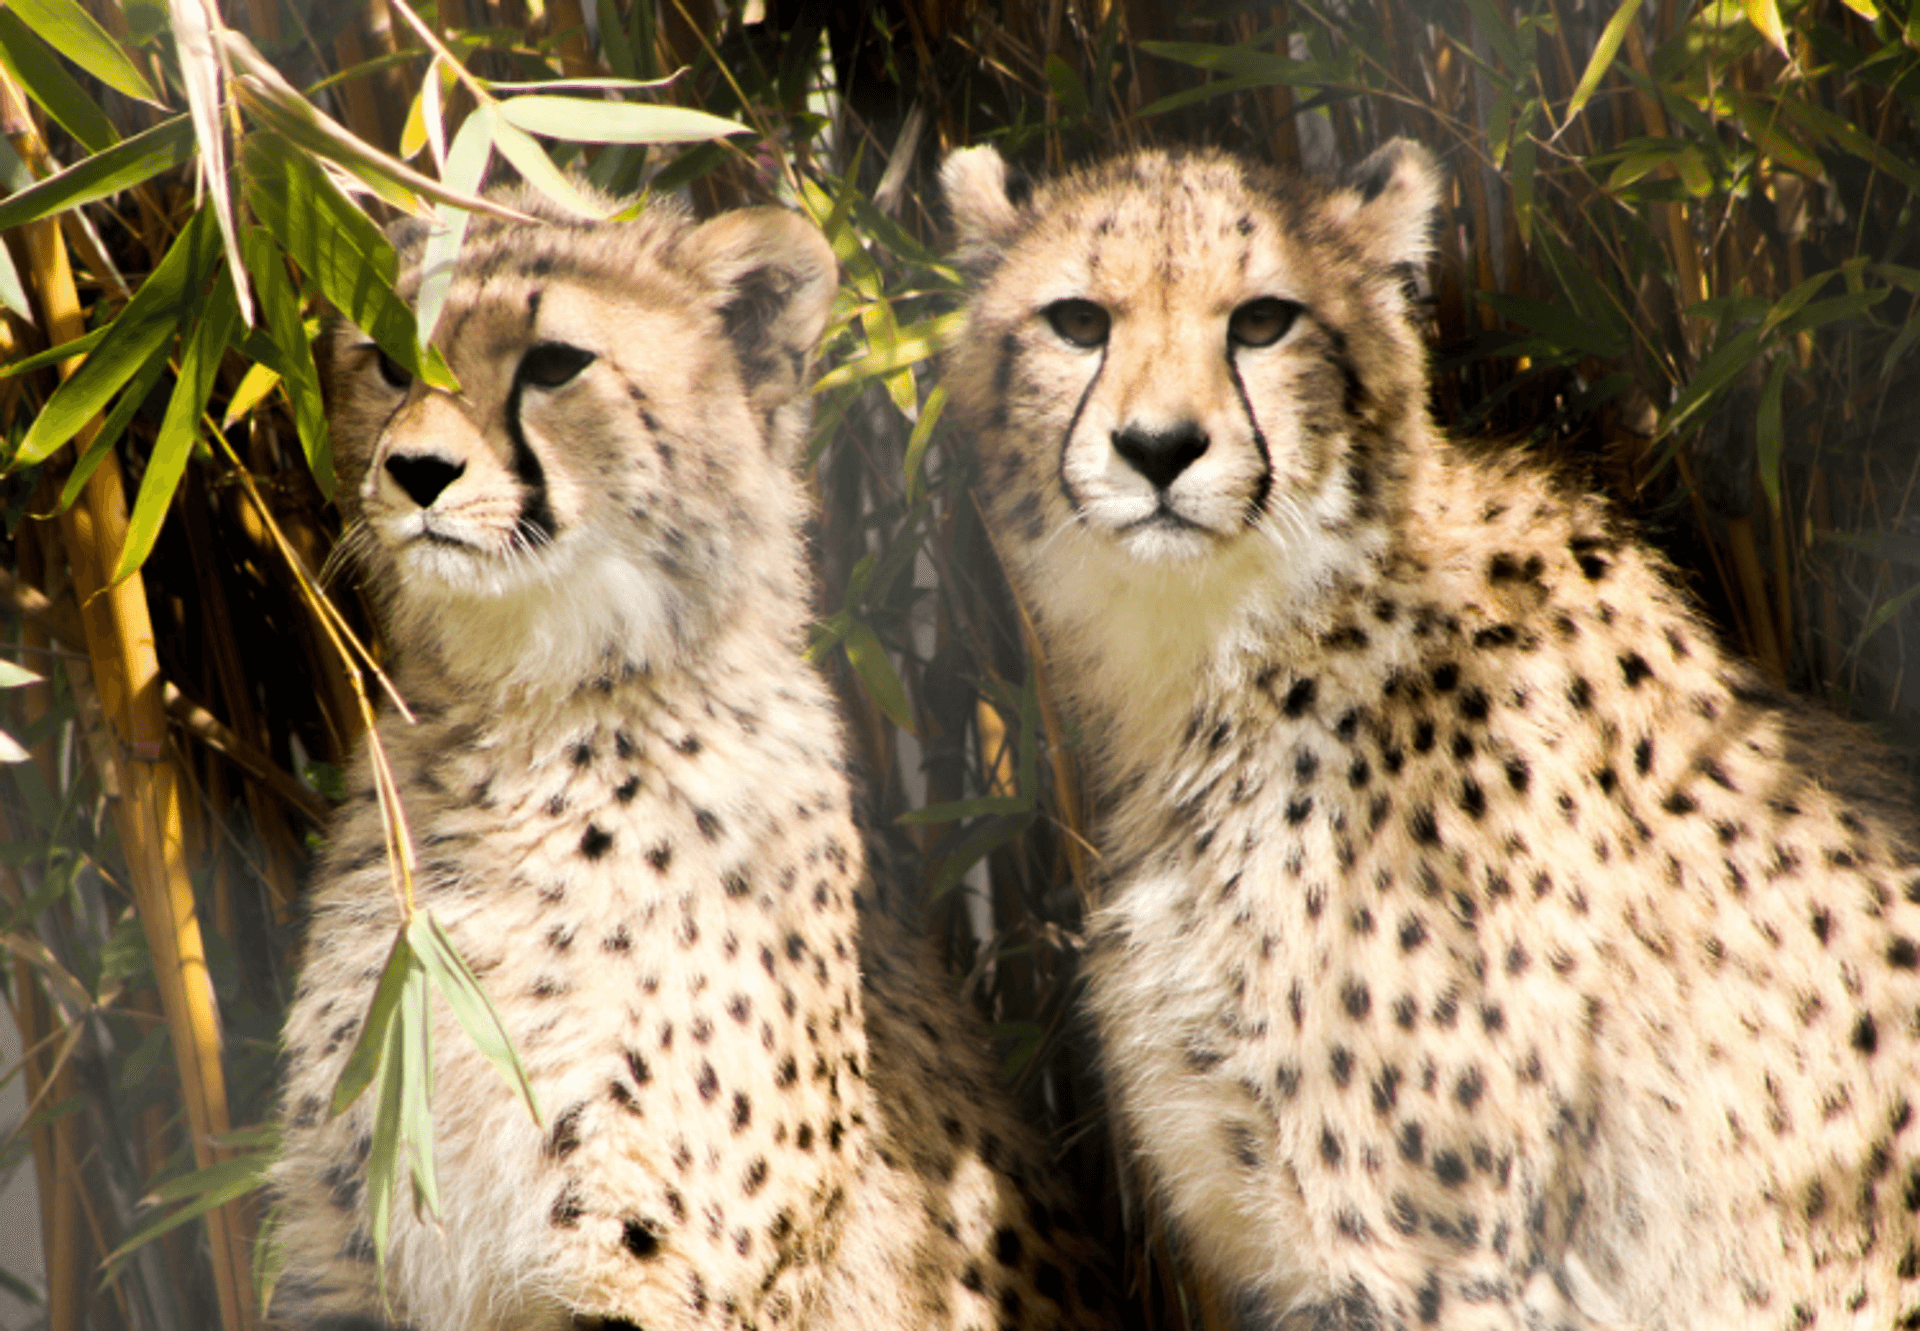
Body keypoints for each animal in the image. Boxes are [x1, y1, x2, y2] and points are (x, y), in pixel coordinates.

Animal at [268, 185, 1112, 1331]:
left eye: (554, 363)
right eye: (388, 359)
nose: (418, 472)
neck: (532, 716)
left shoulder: (649, 1262)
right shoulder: (348, 1256)